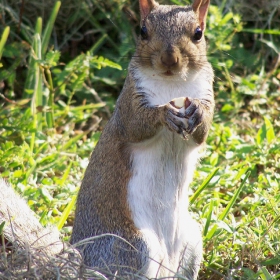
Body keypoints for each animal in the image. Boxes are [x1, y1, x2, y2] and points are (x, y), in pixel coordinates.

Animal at [70, 0, 214, 278]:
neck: (173, 84)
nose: (169, 59)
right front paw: (163, 113)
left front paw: (199, 113)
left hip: (191, 242)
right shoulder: (130, 102)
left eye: (198, 33)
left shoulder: (206, 93)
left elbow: (201, 134)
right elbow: (136, 125)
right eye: (143, 31)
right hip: (133, 247)